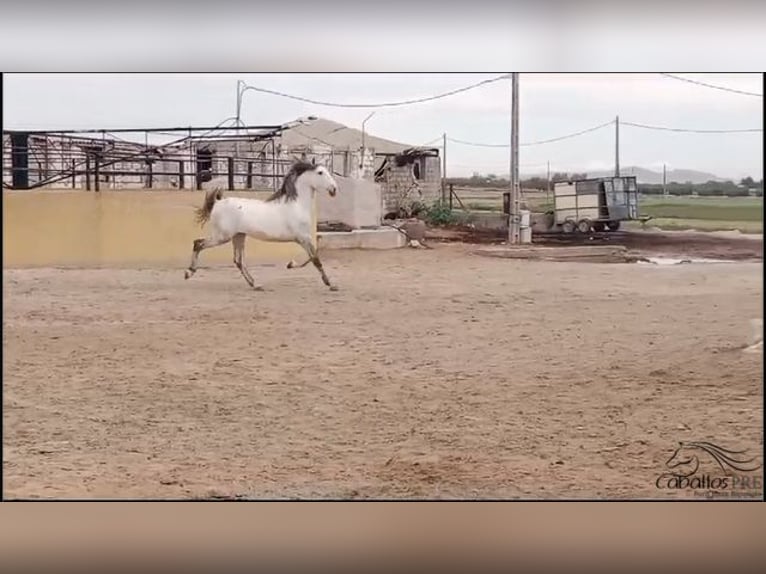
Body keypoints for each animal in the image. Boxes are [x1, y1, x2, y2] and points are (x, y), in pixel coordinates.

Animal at [184, 162, 340, 292]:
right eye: (320, 172)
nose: (334, 189)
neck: (296, 206)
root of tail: (217, 203)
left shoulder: (303, 239)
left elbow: (313, 257)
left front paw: (291, 264)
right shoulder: (303, 238)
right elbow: (315, 259)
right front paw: (331, 284)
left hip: (238, 236)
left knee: (238, 261)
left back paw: (256, 284)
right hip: (222, 236)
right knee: (198, 243)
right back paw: (188, 272)